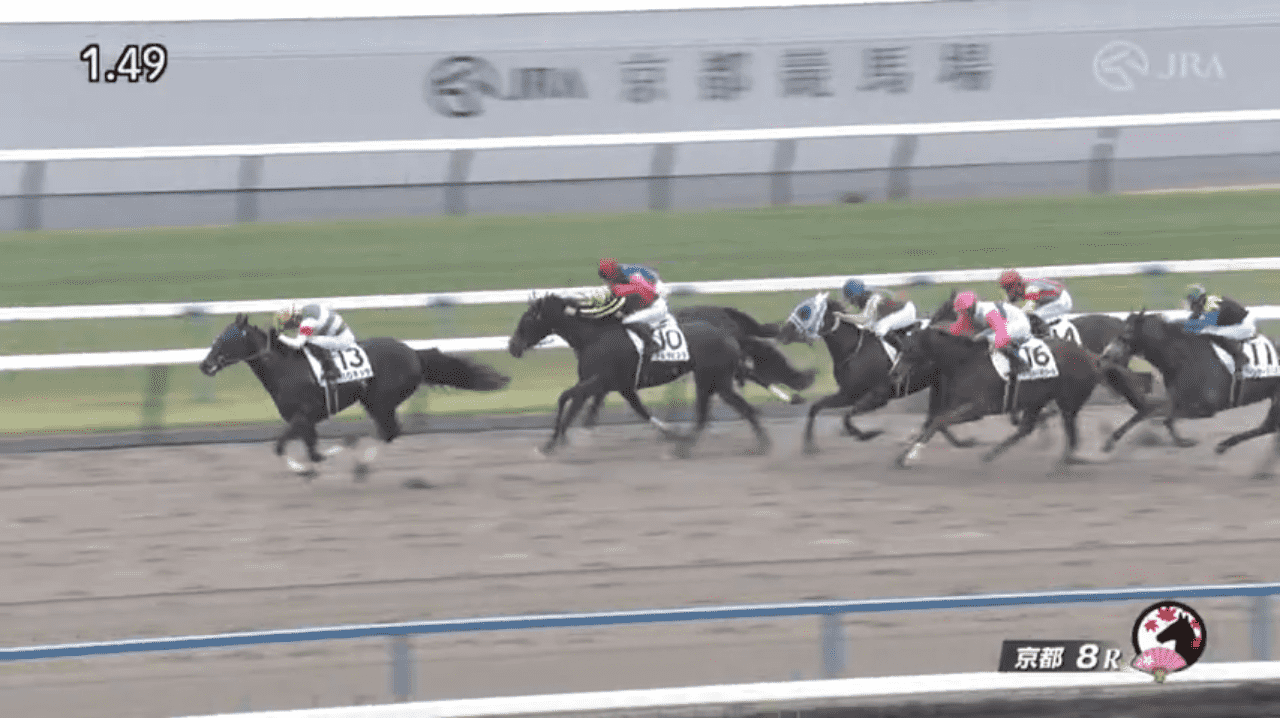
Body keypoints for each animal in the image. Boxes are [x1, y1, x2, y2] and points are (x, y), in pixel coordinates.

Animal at [202, 311, 506, 478]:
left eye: (224, 339)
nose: (204, 364)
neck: (285, 367)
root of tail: (413, 353)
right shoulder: (304, 421)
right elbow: (310, 452)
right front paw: (309, 469)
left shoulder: (303, 416)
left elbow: (286, 448)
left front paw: (319, 461)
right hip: (374, 401)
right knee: (389, 432)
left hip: (381, 400)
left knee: (389, 431)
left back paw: (360, 463)